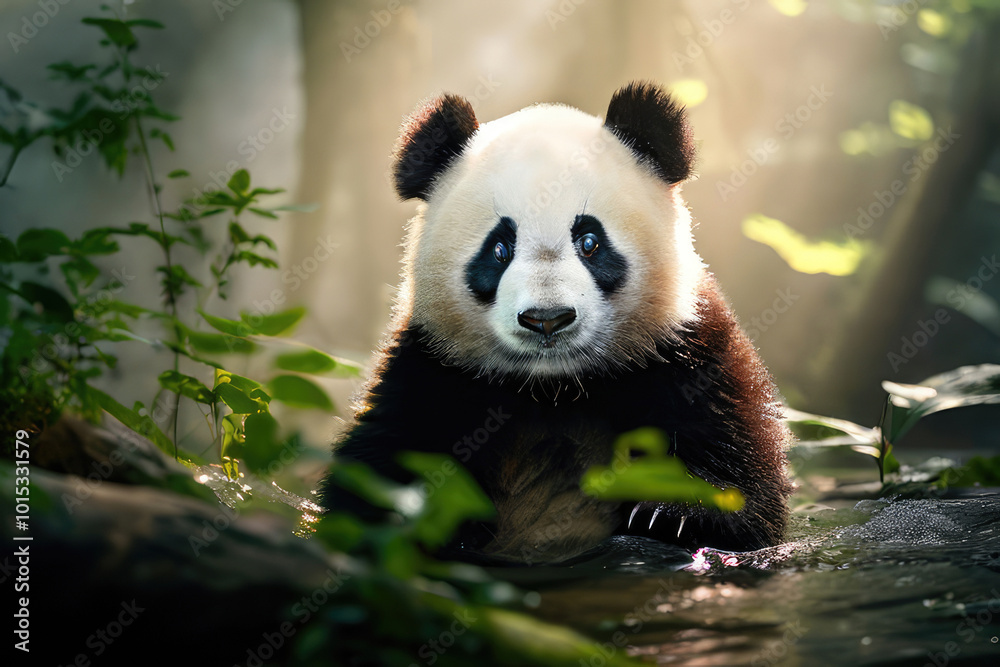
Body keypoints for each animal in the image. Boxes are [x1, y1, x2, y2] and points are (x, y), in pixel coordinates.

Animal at [319, 81, 792, 565]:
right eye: (499, 249)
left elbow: (737, 462)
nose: (546, 320)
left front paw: (675, 511)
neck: (555, 388)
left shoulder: (688, 352)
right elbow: (377, 470)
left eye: (589, 241)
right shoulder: (430, 367)